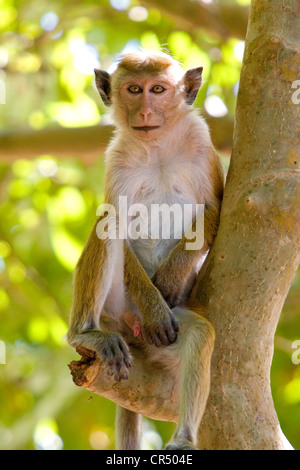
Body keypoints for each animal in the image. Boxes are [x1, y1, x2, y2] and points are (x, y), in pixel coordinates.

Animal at [67, 49, 224, 450]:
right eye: (134, 90)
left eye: (158, 89)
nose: (146, 111)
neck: (157, 148)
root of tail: (131, 333)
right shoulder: (116, 157)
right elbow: (116, 220)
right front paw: (154, 304)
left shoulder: (201, 141)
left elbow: (213, 208)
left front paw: (169, 278)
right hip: (118, 310)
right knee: (107, 223)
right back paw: (84, 333)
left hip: (165, 338)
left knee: (198, 336)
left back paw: (184, 439)